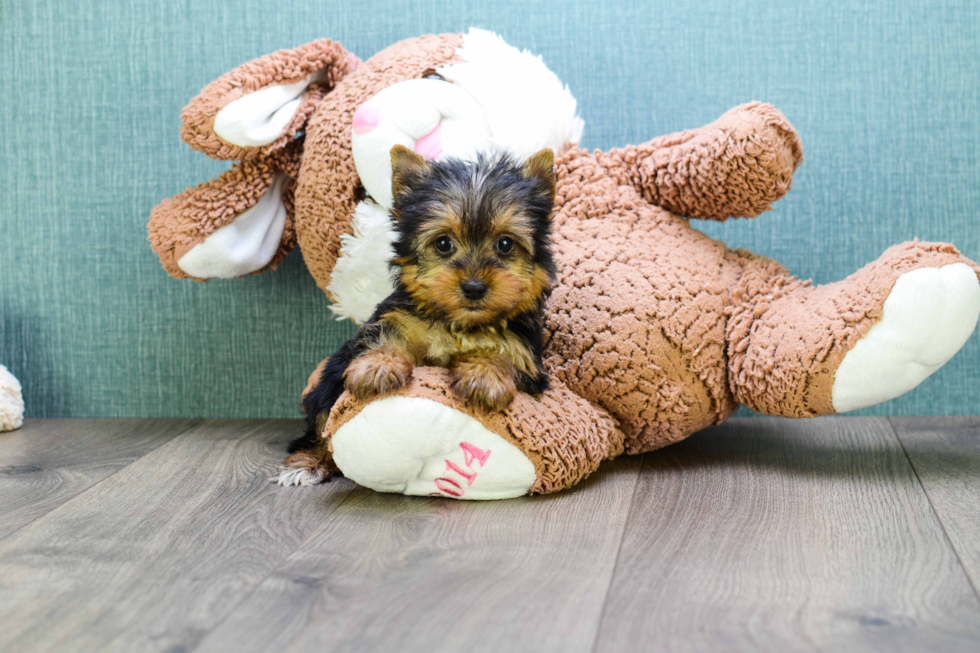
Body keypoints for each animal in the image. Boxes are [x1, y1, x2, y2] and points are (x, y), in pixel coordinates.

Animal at [274, 145, 560, 486]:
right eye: (443, 243)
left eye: (505, 244)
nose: (474, 287)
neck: (459, 324)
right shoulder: (394, 319)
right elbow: (385, 338)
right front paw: (379, 366)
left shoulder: (527, 359)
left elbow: (502, 355)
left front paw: (483, 373)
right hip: (327, 384)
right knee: (321, 422)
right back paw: (307, 463)